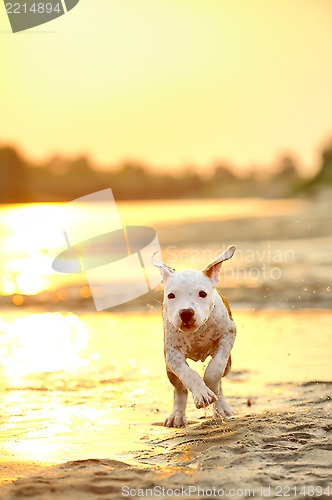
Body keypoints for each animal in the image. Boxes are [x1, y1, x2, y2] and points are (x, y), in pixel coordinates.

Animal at [153, 245, 236, 426]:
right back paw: (177, 416)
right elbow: (188, 374)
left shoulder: (228, 335)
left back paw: (221, 407)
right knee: (179, 389)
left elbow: (215, 368)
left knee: (220, 380)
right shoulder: (172, 355)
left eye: (202, 293)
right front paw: (202, 392)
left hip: (229, 364)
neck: (197, 332)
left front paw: (210, 386)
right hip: (169, 370)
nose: (185, 313)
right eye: (171, 295)